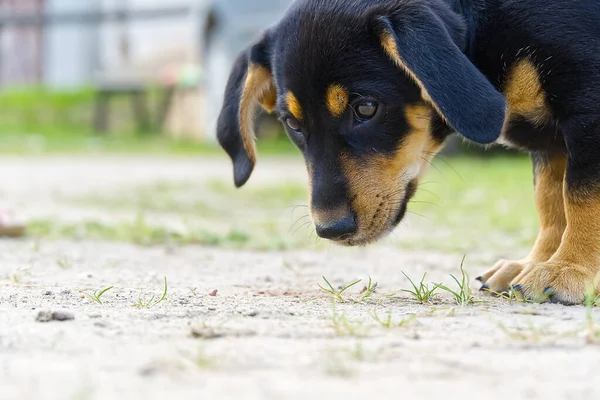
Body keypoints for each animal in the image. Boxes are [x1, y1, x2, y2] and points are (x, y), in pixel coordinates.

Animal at [218, 0, 600, 304]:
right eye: (292, 123)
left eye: (366, 107)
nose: (331, 229)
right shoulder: (549, 144)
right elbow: (551, 204)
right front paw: (535, 264)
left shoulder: (587, 113)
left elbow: (580, 199)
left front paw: (567, 271)